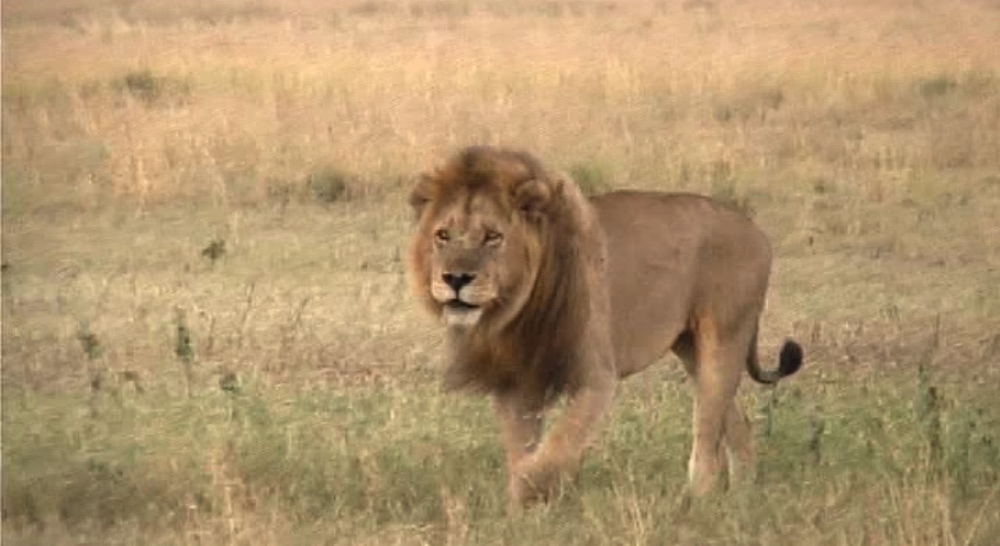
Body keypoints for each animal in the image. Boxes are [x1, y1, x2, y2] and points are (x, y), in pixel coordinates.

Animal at [406, 145, 803, 509]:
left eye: (492, 236)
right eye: (442, 236)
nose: (456, 278)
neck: (515, 311)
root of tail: (754, 228)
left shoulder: (595, 376)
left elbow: (557, 446)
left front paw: (531, 492)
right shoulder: (516, 381)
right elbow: (523, 449)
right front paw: (522, 514)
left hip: (724, 336)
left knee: (707, 433)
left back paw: (695, 502)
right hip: (692, 349)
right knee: (736, 421)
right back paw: (740, 498)